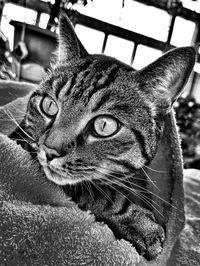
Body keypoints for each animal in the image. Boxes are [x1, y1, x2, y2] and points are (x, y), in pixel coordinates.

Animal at [10, 13, 196, 260]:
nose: (50, 150)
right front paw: (141, 225)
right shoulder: (20, 142)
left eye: (104, 125)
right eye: (49, 105)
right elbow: (93, 191)